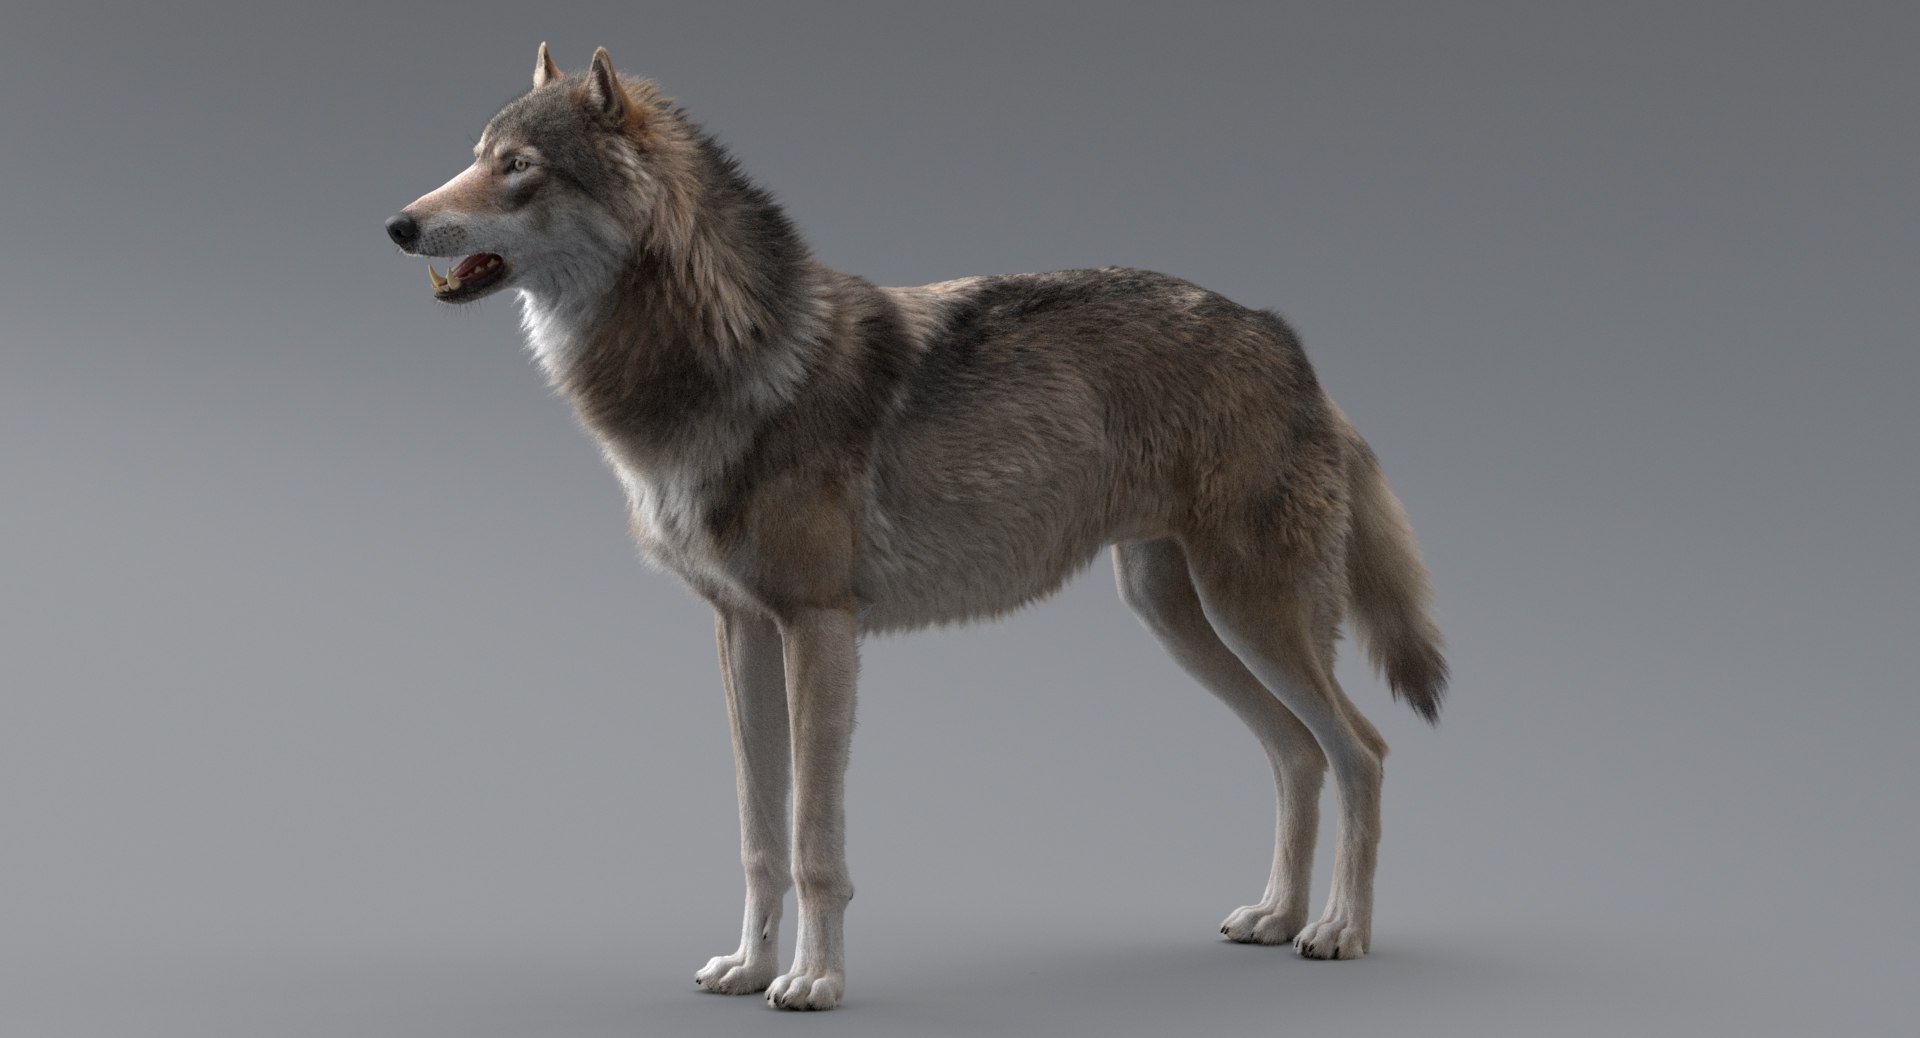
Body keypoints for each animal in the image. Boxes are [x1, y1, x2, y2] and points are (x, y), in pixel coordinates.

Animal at [385, 44, 1447, 1011]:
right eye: (476, 156)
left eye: (518, 165)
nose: (397, 224)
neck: (728, 361)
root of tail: (1288, 342)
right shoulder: (740, 630)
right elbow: (759, 836)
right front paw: (749, 968)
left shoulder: (820, 630)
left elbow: (813, 842)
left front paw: (814, 981)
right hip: (1181, 617)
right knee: (1297, 754)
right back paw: (1275, 916)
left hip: (1248, 615)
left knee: (1361, 751)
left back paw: (1338, 930)